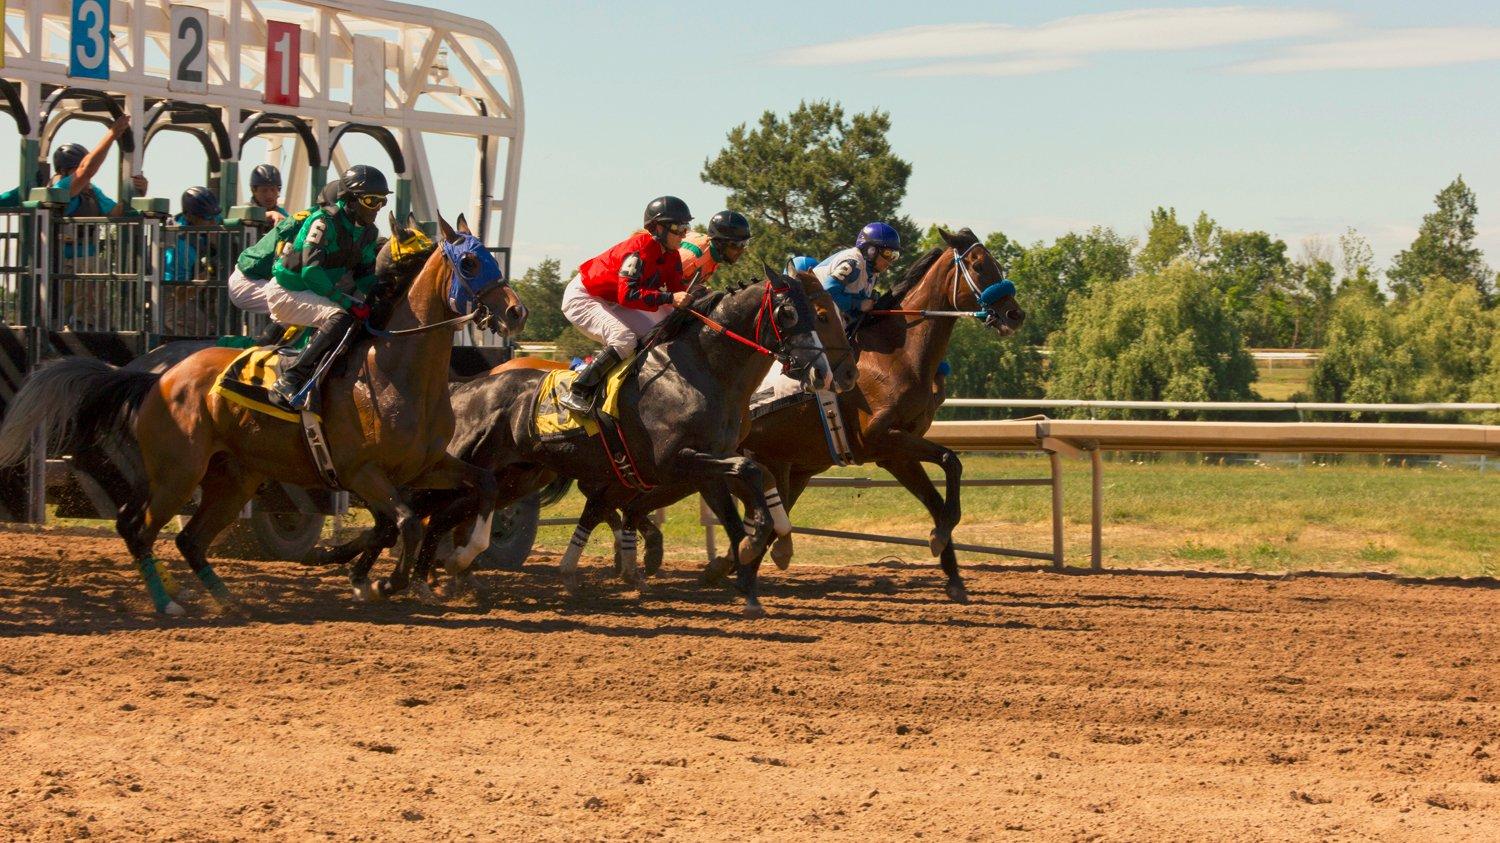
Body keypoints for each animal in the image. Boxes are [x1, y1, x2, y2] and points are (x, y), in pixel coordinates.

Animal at [0, 213, 528, 615]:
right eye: (470, 261)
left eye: (489, 256)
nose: (516, 312)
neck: (395, 369)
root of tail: (158, 378)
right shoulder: (362, 471)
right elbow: (406, 523)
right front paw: (381, 583)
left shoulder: (425, 465)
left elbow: (479, 486)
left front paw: (458, 559)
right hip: (177, 472)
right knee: (137, 527)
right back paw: (168, 602)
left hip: (233, 478)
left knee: (189, 539)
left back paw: (227, 599)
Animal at [723, 226, 1020, 600]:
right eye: (979, 265)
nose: (1015, 315)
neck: (897, 354)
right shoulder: (880, 438)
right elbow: (951, 460)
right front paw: (940, 539)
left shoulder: (896, 452)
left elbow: (937, 501)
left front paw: (952, 573)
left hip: (790, 467)